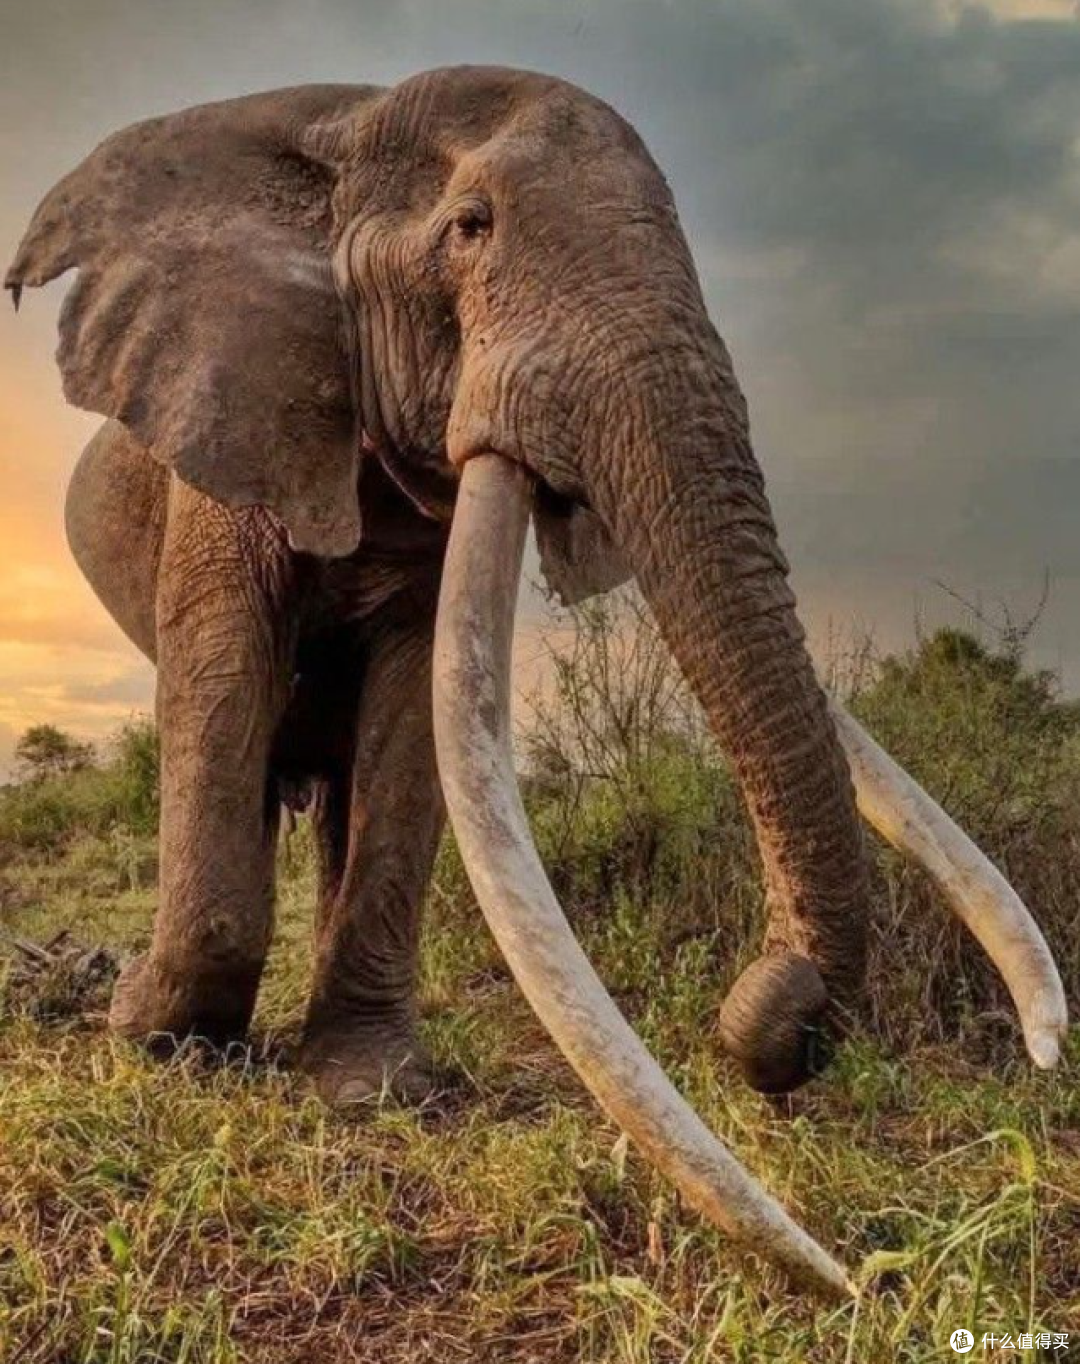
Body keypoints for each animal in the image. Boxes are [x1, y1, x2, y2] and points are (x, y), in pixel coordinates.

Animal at [7, 66, 1067, 1295]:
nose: (776, 1009)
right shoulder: (227, 428)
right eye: (471, 227)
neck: (342, 125)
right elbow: (226, 676)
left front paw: (369, 1089)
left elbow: (415, 702)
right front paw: (152, 1036)